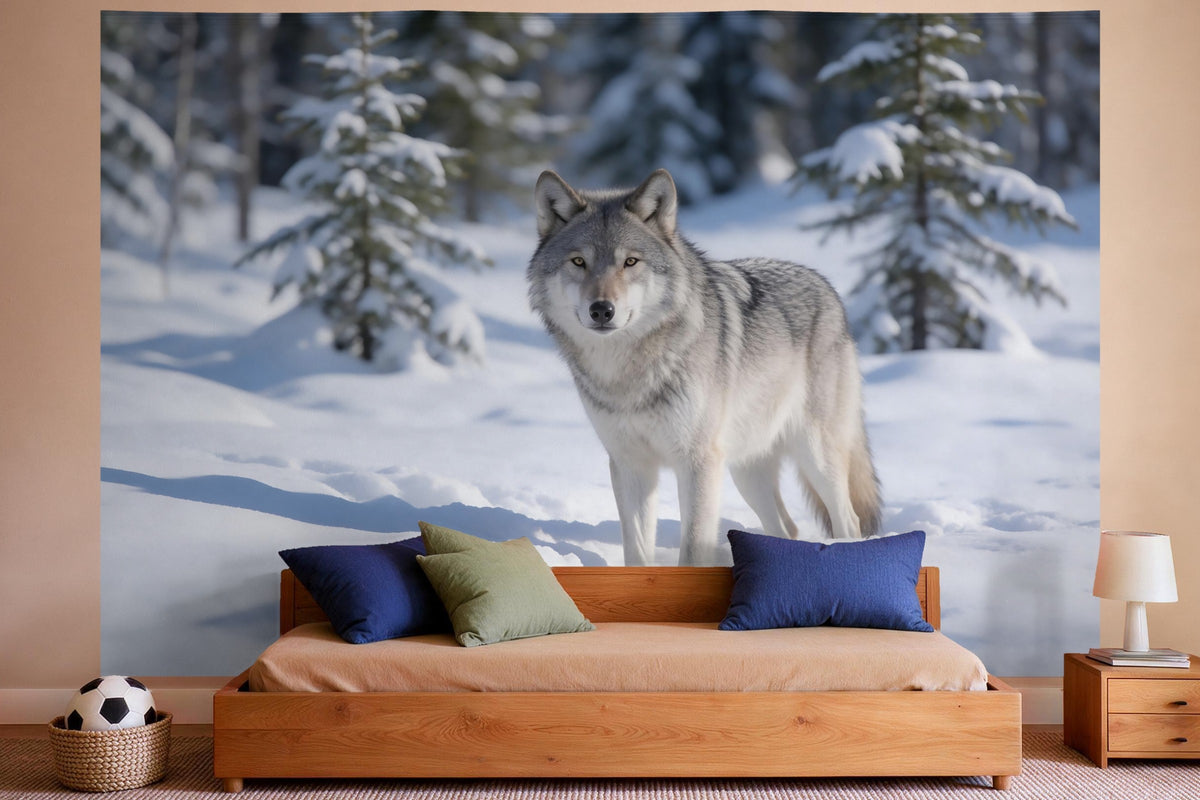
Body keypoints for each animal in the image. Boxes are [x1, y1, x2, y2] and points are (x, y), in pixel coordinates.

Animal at [527, 169, 881, 566]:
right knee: (787, 528)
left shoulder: (697, 464)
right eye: (578, 262)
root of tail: (827, 287)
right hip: (745, 470)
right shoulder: (630, 465)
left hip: (814, 454)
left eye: (630, 262)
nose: (602, 310)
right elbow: (636, 552)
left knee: (848, 520)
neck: (627, 373)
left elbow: (694, 548)